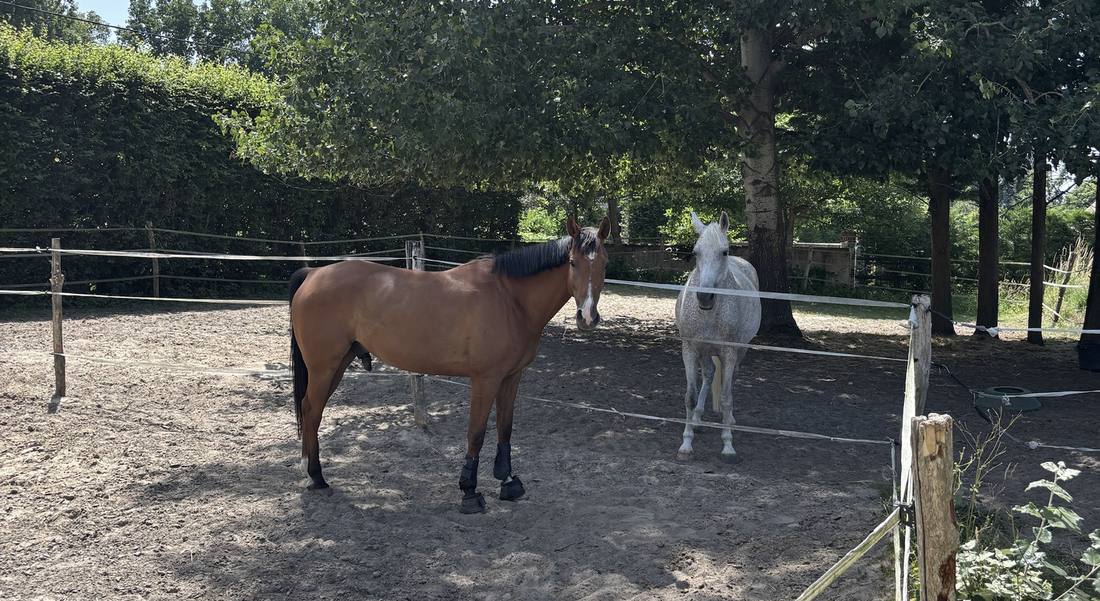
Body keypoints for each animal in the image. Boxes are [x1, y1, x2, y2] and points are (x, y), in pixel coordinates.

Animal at [288, 217, 611, 513]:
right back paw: (315, 476)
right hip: (323, 367)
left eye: (604, 264)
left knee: (311, 410)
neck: (509, 298)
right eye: (572, 263)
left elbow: (505, 428)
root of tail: (314, 273)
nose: (587, 317)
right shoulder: (485, 379)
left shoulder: (512, 377)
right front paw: (469, 492)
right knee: (312, 410)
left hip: (337, 365)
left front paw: (508, 482)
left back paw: (313, 476)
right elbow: (476, 433)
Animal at [674, 211, 761, 463]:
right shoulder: (690, 349)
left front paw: (728, 445)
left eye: (724, 252)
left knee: (729, 382)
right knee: (710, 374)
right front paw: (686, 444)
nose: (704, 297)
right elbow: (690, 396)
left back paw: (728, 420)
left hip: (740, 350)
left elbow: (725, 397)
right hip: (705, 352)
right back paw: (697, 419)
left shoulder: (729, 352)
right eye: (695, 252)